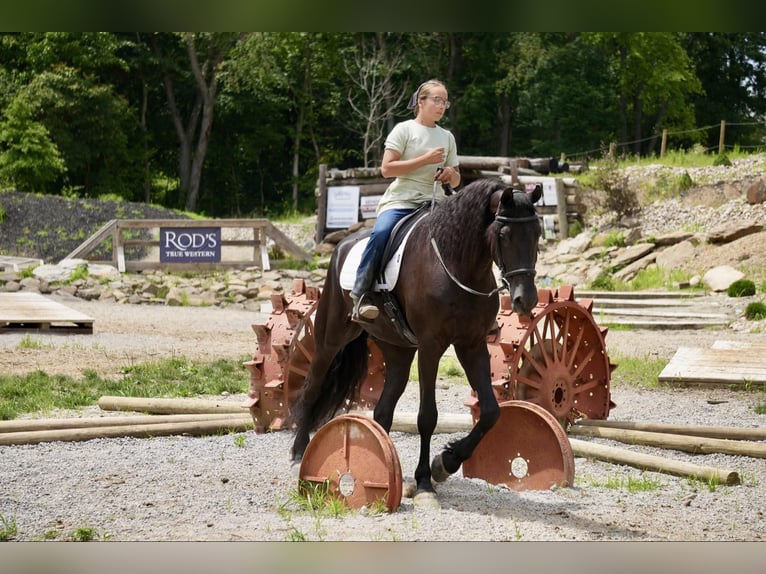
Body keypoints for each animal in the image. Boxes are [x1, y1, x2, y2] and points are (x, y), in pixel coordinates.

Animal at [292, 180, 544, 508]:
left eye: (537, 233)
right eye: (503, 234)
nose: (526, 299)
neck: (458, 266)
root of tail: (343, 245)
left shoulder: (471, 344)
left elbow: (491, 412)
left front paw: (445, 463)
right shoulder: (430, 347)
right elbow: (427, 417)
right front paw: (425, 482)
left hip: (397, 350)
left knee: (383, 411)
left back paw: (384, 464)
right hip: (330, 336)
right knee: (312, 387)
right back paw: (299, 452)